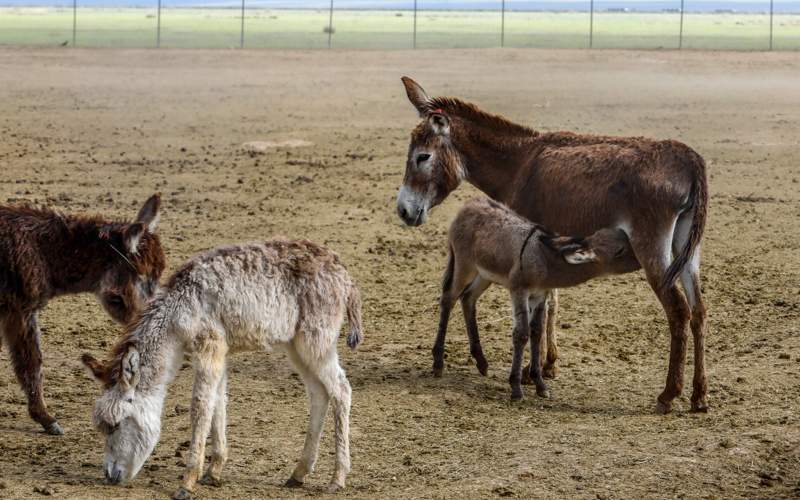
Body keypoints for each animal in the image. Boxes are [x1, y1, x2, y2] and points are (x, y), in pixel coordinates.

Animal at [81, 240, 362, 498]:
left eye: (114, 425)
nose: (110, 475)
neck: (178, 310)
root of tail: (345, 276)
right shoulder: (219, 353)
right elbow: (218, 402)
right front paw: (213, 471)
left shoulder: (210, 347)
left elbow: (200, 407)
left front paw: (188, 482)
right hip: (297, 346)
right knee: (319, 393)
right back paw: (299, 473)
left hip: (317, 341)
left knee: (341, 390)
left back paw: (337, 478)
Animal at [438, 197, 636, 400]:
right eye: (620, 250)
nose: (641, 259)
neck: (544, 259)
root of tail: (469, 205)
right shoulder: (519, 291)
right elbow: (522, 334)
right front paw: (516, 388)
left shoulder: (540, 295)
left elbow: (537, 332)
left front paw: (539, 384)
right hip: (464, 266)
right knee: (448, 299)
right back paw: (437, 364)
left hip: (484, 274)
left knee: (468, 298)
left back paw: (481, 362)